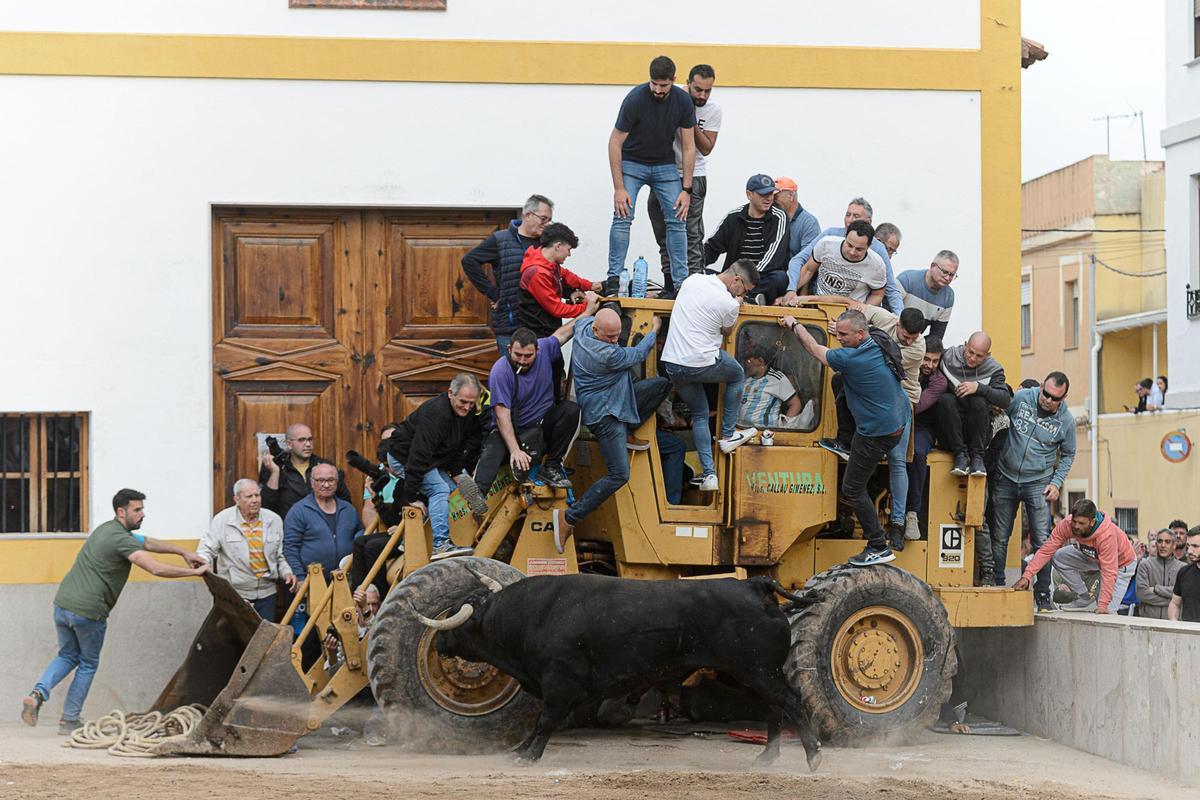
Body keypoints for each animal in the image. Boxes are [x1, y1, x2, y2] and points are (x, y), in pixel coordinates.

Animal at [412, 568, 825, 767]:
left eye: (459, 620)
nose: (441, 644)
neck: (531, 615)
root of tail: (756, 585)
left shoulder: (560, 682)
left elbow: (545, 720)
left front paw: (529, 756)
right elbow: (539, 723)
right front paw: (521, 751)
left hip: (760, 672)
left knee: (791, 703)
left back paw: (813, 756)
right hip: (751, 675)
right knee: (773, 710)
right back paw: (766, 758)